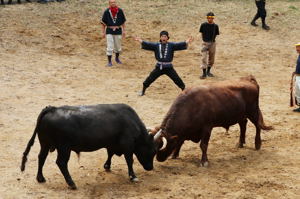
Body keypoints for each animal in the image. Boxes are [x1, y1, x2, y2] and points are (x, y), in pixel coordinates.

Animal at [20, 104, 161, 190]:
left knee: (41, 157)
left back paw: (40, 178)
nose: (150, 168)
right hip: (64, 148)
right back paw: (71, 183)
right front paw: (133, 176)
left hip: (45, 143)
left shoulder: (111, 143)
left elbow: (110, 153)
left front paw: (107, 166)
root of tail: (52, 108)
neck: (132, 122)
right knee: (61, 162)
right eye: (153, 151)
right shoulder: (128, 145)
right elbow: (129, 160)